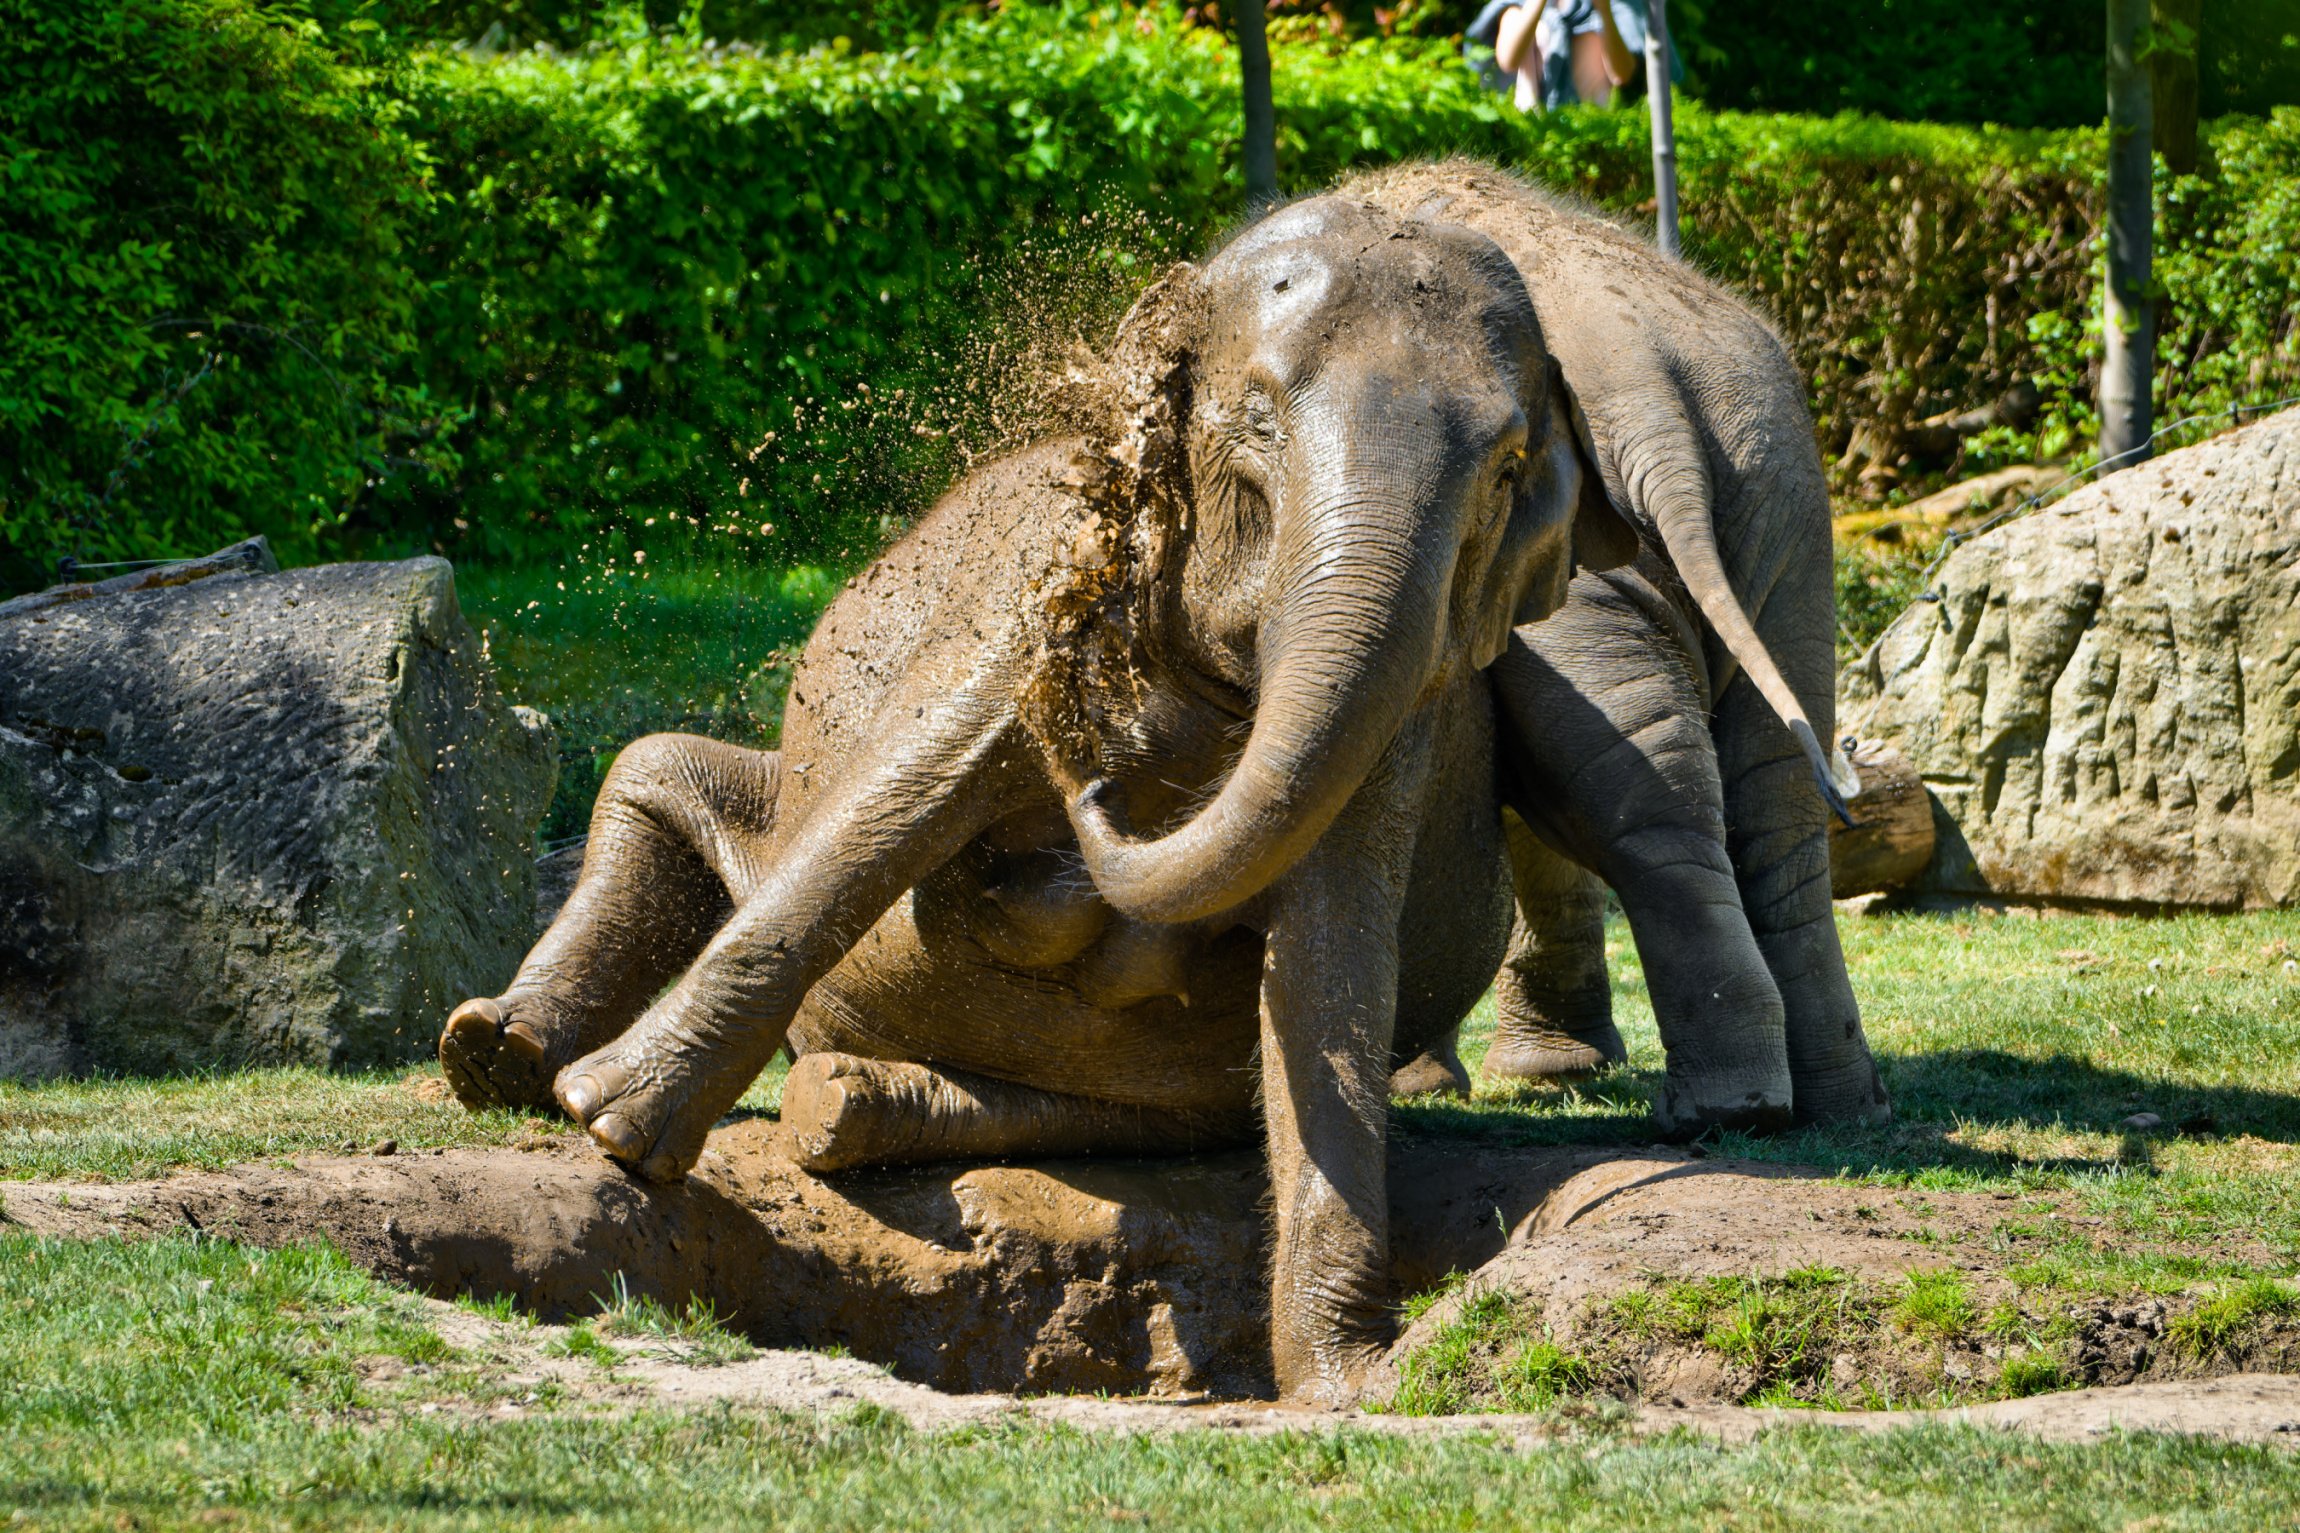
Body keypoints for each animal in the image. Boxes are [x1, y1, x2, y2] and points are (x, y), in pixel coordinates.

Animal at [434, 195, 1637, 1406]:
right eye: (1256, 422)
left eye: (1507, 467)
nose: (1094, 790)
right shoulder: (1035, 572)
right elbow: (905, 791)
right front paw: (612, 1125)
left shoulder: (1419, 693)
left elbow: (1330, 953)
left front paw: (1347, 1383)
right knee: (657, 771)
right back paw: (498, 1055)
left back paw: (843, 1103)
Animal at [1343, 162, 1886, 1135]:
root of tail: (1650, 383)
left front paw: (1436, 1083)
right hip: (1784, 516)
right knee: (1774, 800)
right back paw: (1839, 1107)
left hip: (1589, 550)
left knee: (1646, 797)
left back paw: (1730, 1110)